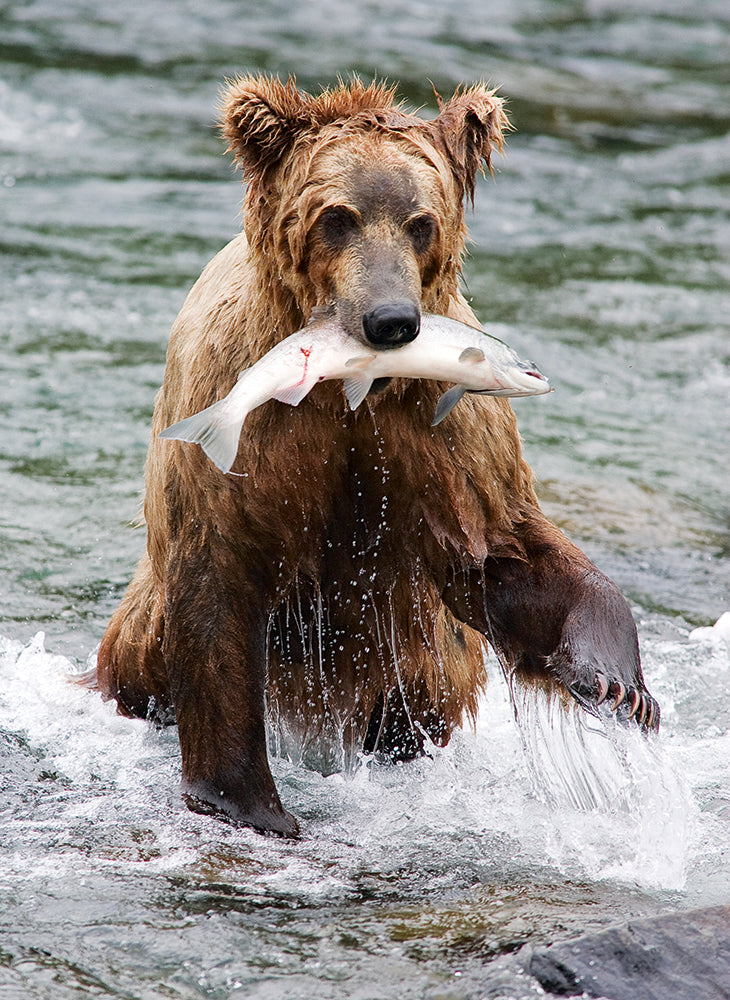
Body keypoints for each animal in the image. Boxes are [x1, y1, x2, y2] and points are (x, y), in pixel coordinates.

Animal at [96, 75, 659, 837]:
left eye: (421, 221)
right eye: (339, 216)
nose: (391, 320)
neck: (350, 388)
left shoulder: (441, 440)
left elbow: (502, 553)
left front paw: (617, 680)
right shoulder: (249, 427)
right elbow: (218, 592)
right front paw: (249, 802)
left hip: (419, 660)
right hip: (145, 633)